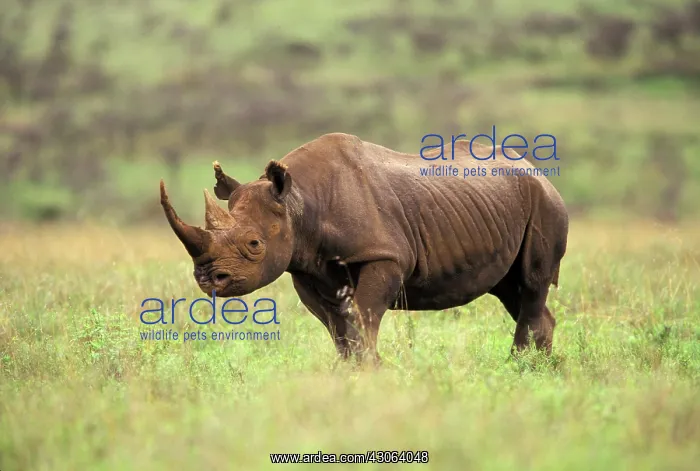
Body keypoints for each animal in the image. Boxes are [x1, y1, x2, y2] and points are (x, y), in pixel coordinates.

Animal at [160, 133, 569, 362]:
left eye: (254, 243)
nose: (207, 279)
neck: (299, 201)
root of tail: (536, 170)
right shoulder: (305, 267)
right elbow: (336, 327)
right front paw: (349, 373)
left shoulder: (384, 255)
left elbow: (363, 316)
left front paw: (370, 372)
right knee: (511, 290)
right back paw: (541, 371)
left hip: (545, 202)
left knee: (531, 283)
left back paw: (518, 368)